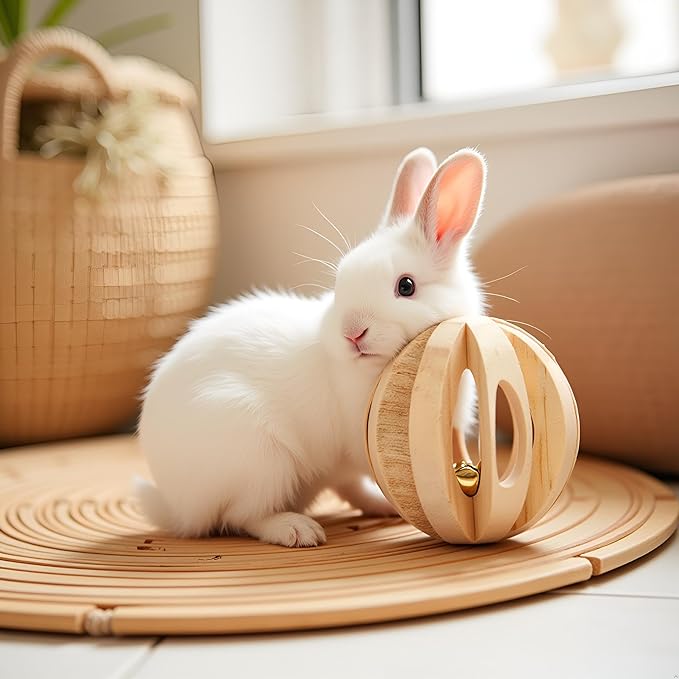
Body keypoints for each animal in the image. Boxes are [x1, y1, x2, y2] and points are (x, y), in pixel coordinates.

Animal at [136, 147, 487, 547]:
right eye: (340, 280)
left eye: (407, 286)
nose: (353, 333)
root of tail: (178, 509)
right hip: (262, 459)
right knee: (242, 516)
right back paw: (298, 530)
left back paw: (378, 507)